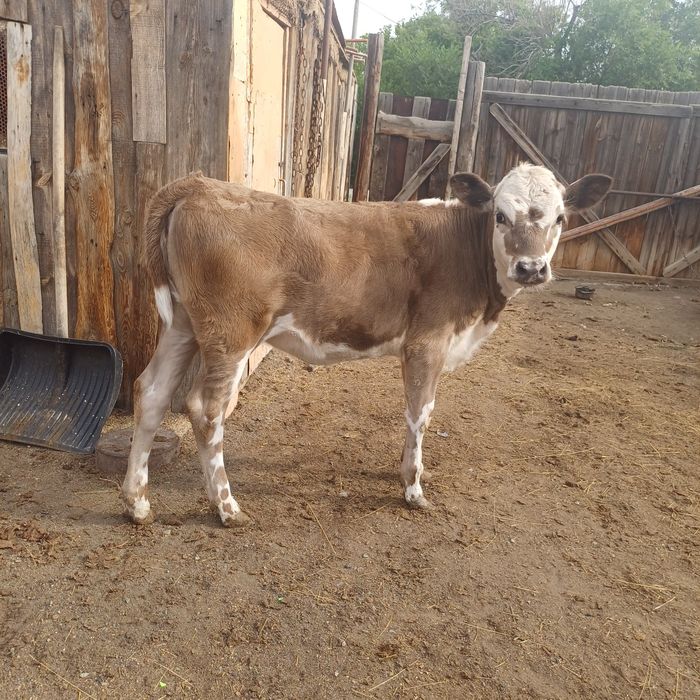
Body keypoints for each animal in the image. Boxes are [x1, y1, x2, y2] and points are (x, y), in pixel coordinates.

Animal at [121, 163, 611, 527]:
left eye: (560, 218)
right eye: (501, 216)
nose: (531, 268)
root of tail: (198, 185)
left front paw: (405, 469)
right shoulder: (427, 342)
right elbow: (420, 413)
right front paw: (412, 488)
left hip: (183, 324)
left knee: (151, 392)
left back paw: (137, 503)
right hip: (231, 331)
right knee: (206, 409)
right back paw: (227, 508)